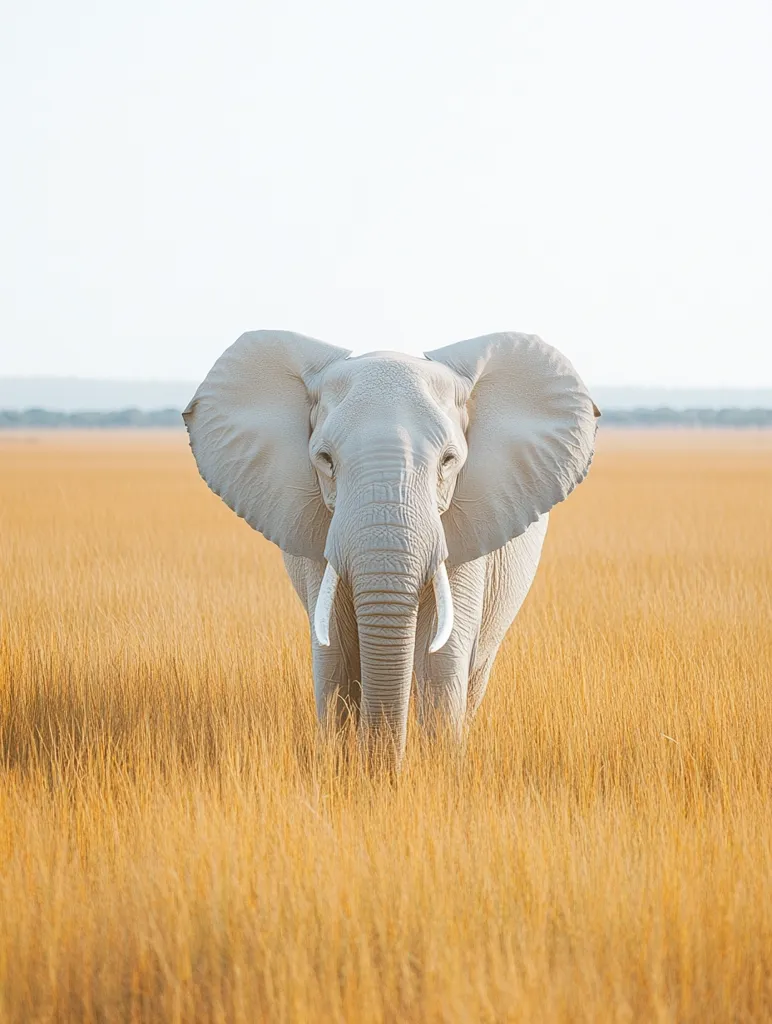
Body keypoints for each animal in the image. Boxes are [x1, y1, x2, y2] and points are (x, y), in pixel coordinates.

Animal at [183, 330, 599, 764]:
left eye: (448, 461)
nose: (385, 770)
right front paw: (343, 768)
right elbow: (336, 655)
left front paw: (437, 771)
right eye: (325, 459)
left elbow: (441, 656)